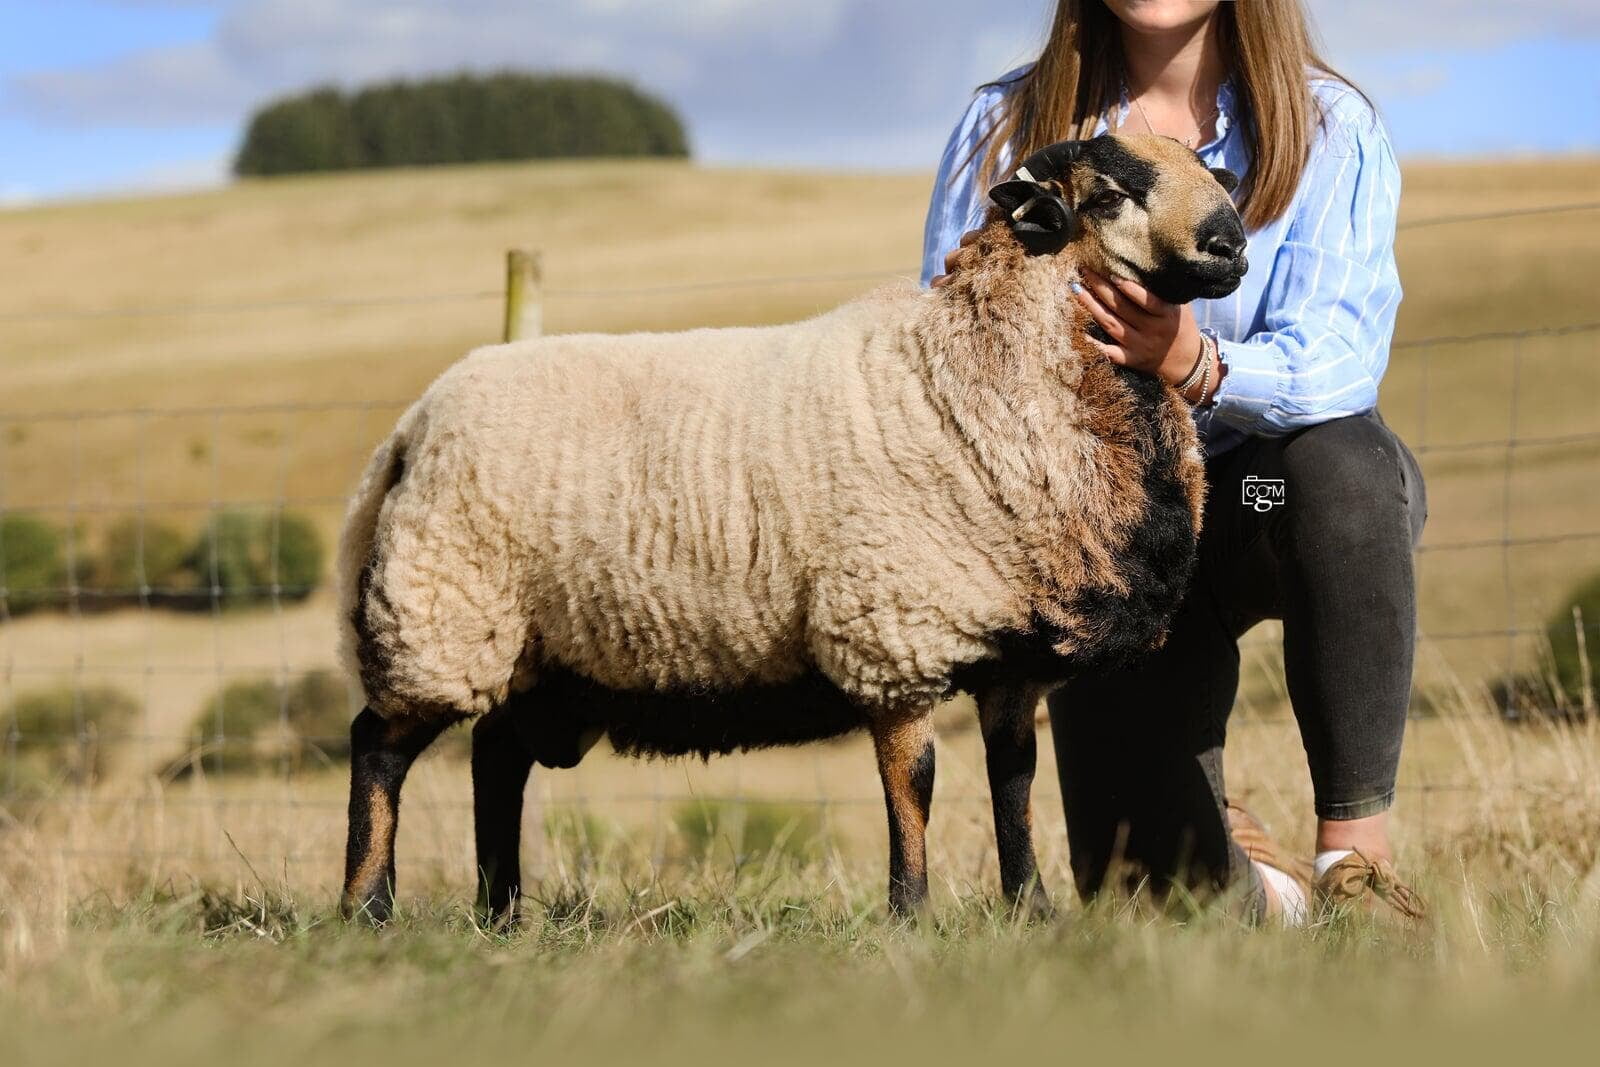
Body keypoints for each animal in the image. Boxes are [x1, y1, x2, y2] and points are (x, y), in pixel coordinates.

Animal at [336, 133, 1247, 924]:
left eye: (1208, 169)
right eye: (1111, 193)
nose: (1231, 243)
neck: (972, 376)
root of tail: (411, 428)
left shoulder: (1012, 655)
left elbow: (1014, 781)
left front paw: (1033, 911)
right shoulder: (893, 633)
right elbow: (915, 780)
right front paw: (910, 916)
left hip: (541, 653)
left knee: (496, 757)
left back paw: (501, 914)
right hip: (443, 616)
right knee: (379, 746)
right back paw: (368, 909)